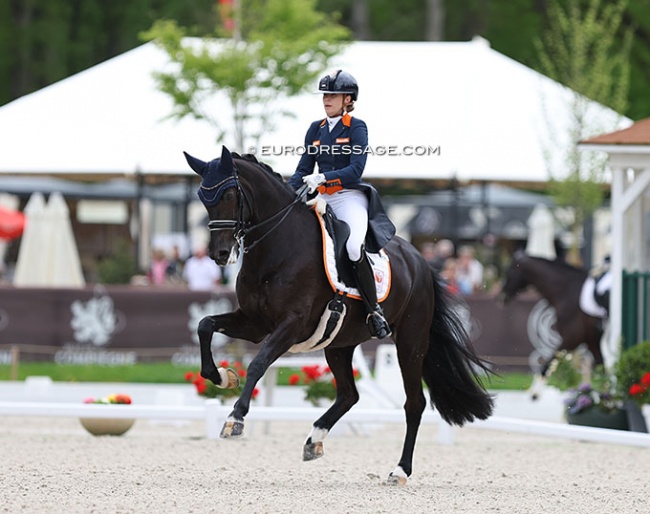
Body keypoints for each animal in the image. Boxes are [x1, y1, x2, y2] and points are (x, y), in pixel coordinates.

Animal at [182, 145, 492, 484]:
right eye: (202, 197)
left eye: (229, 193)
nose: (220, 254)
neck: (277, 247)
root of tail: (420, 260)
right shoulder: (254, 323)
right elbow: (205, 325)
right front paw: (223, 376)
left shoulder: (291, 325)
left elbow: (258, 363)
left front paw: (234, 419)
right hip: (339, 345)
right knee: (349, 395)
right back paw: (314, 439)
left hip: (410, 342)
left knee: (414, 403)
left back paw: (399, 470)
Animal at [498, 250, 604, 382]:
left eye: (509, 270)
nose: (502, 295)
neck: (567, 290)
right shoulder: (592, 343)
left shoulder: (571, 339)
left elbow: (544, 369)